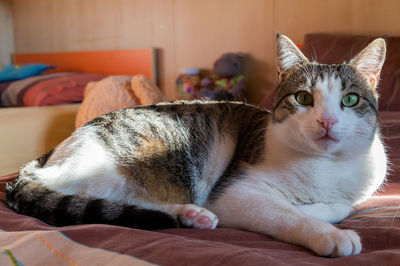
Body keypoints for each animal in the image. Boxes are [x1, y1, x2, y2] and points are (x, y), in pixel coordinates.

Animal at [4, 33, 386, 258]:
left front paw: (316, 209)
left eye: (350, 100)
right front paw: (328, 234)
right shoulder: (234, 193)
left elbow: (340, 206)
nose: (327, 122)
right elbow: (287, 214)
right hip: (112, 167)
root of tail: (41, 162)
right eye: (304, 98)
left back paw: (189, 215)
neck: (325, 167)